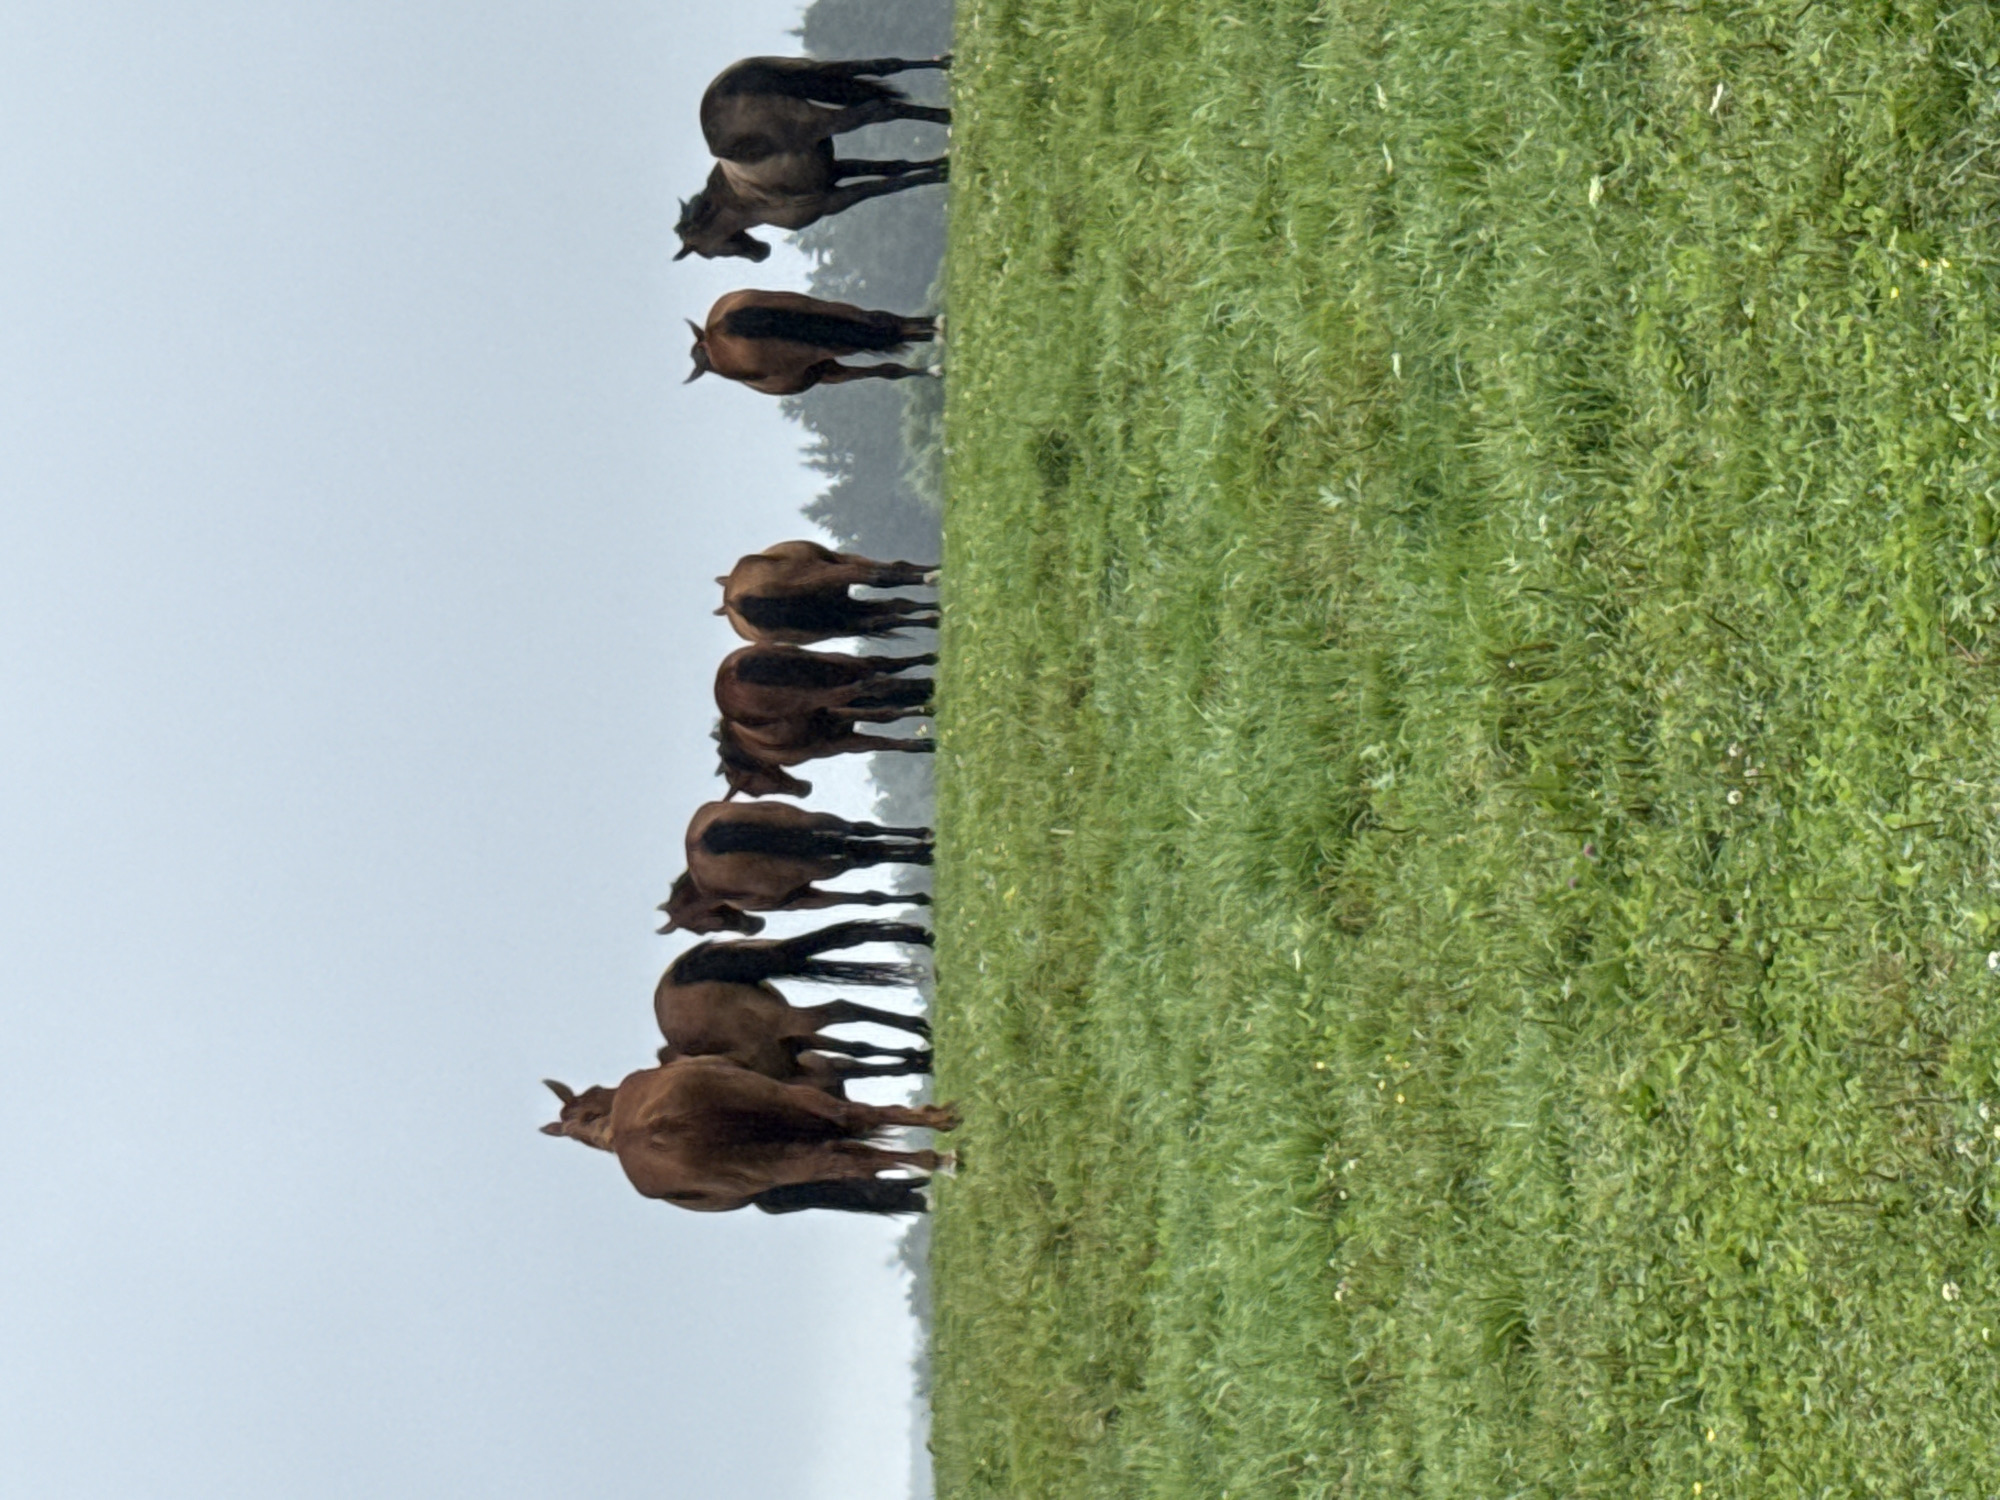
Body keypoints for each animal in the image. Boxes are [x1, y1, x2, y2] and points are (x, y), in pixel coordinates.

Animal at [659, 800, 933, 935]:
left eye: (702, 927)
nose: (754, 928)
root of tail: (705, 839)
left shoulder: (800, 900)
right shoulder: (808, 892)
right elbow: (870, 897)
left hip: (813, 851)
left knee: (859, 852)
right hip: (812, 826)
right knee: (863, 835)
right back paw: (925, 846)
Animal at [675, 55, 952, 263]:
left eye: (706, 252)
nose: (760, 254)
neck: (743, 201)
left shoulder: (834, 200)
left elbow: (886, 186)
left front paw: (939, 173)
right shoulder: (834, 170)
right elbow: (895, 168)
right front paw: (942, 165)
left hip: (824, 119)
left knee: (883, 109)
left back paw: (946, 114)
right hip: (812, 69)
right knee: (884, 66)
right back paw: (947, 75)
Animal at [686, 290, 940, 394]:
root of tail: (716, 329)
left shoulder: (829, 373)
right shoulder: (830, 367)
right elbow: (890, 370)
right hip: (823, 310)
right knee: (881, 321)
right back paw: (937, 327)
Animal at [718, 541, 939, 645]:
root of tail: (733, 601)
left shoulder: (841, 605)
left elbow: (900, 604)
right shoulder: (843, 564)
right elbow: (894, 574)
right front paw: (935, 574)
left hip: (831, 625)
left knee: (885, 618)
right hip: (831, 575)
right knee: (884, 580)